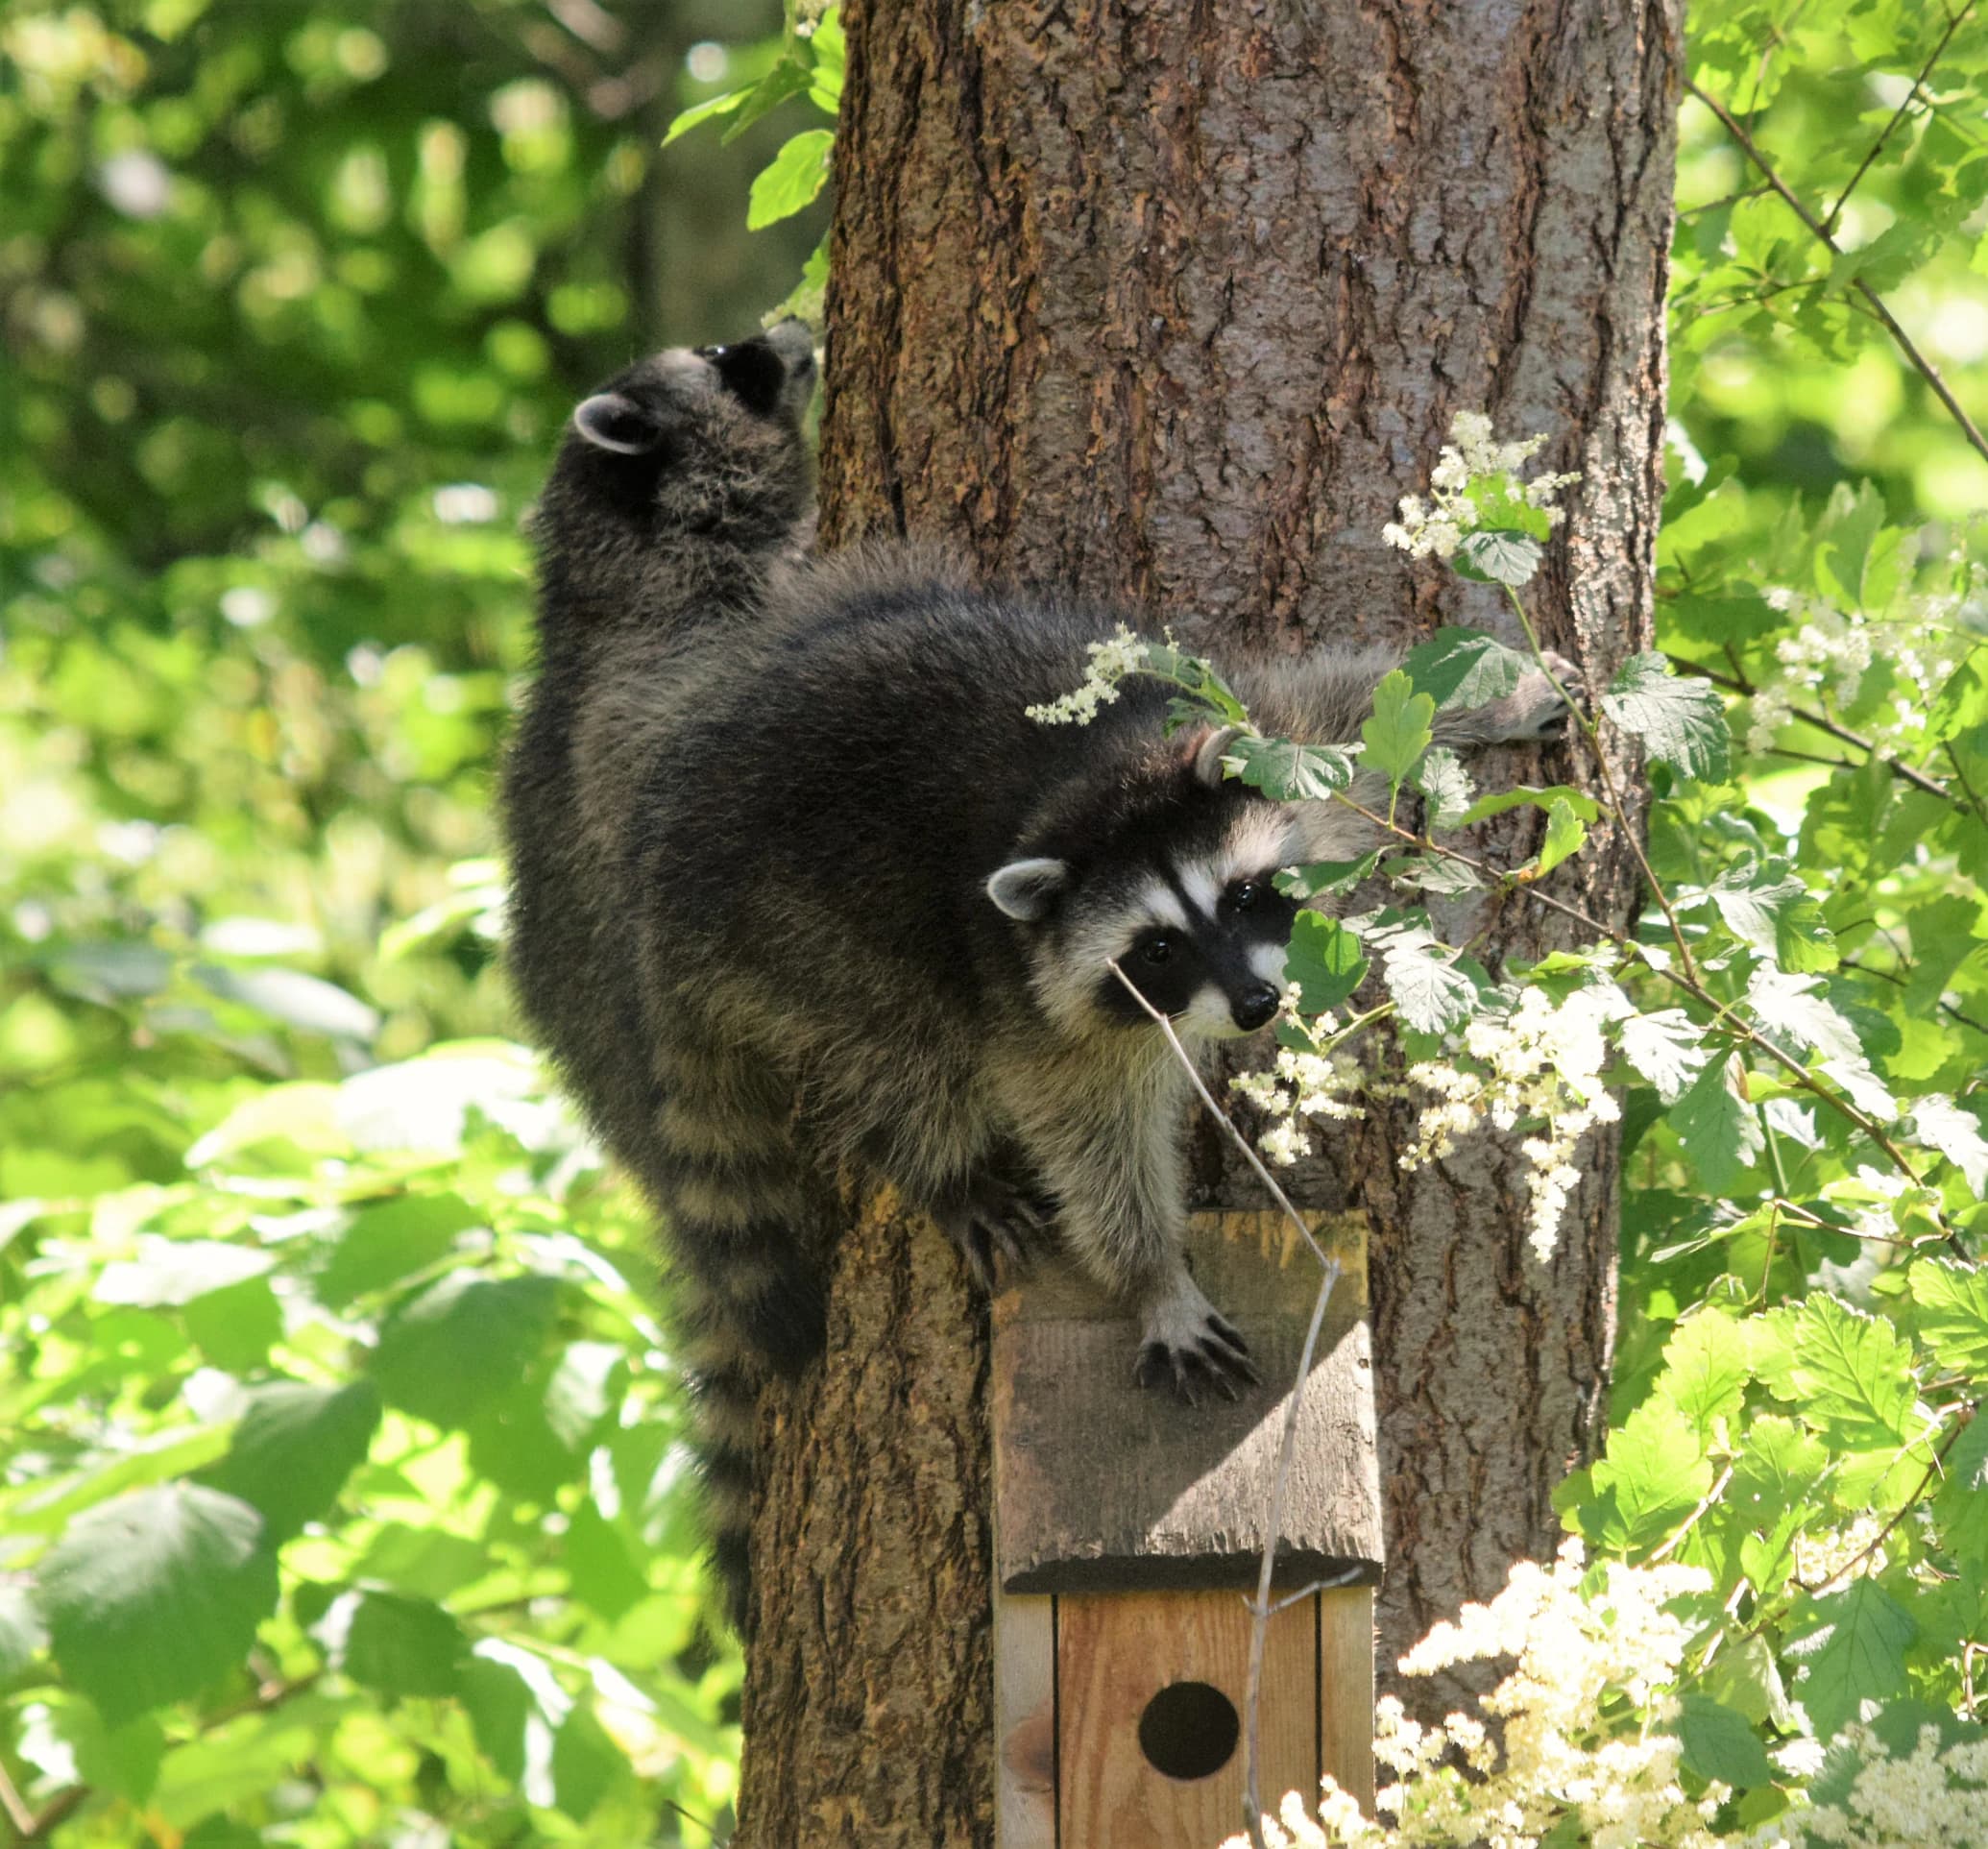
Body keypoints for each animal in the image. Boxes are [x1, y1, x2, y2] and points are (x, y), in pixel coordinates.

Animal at [503, 328, 1576, 1630]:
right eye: (1156, 950)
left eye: (1246, 900)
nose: (1258, 1005)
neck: (1092, 784)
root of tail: (666, 863)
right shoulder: (1033, 990)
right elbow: (1084, 1123)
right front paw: (1149, 1269)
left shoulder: (1267, 753)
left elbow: (1366, 711)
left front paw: (1497, 694)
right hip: (794, 930)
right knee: (891, 1043)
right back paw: (933, 1155)